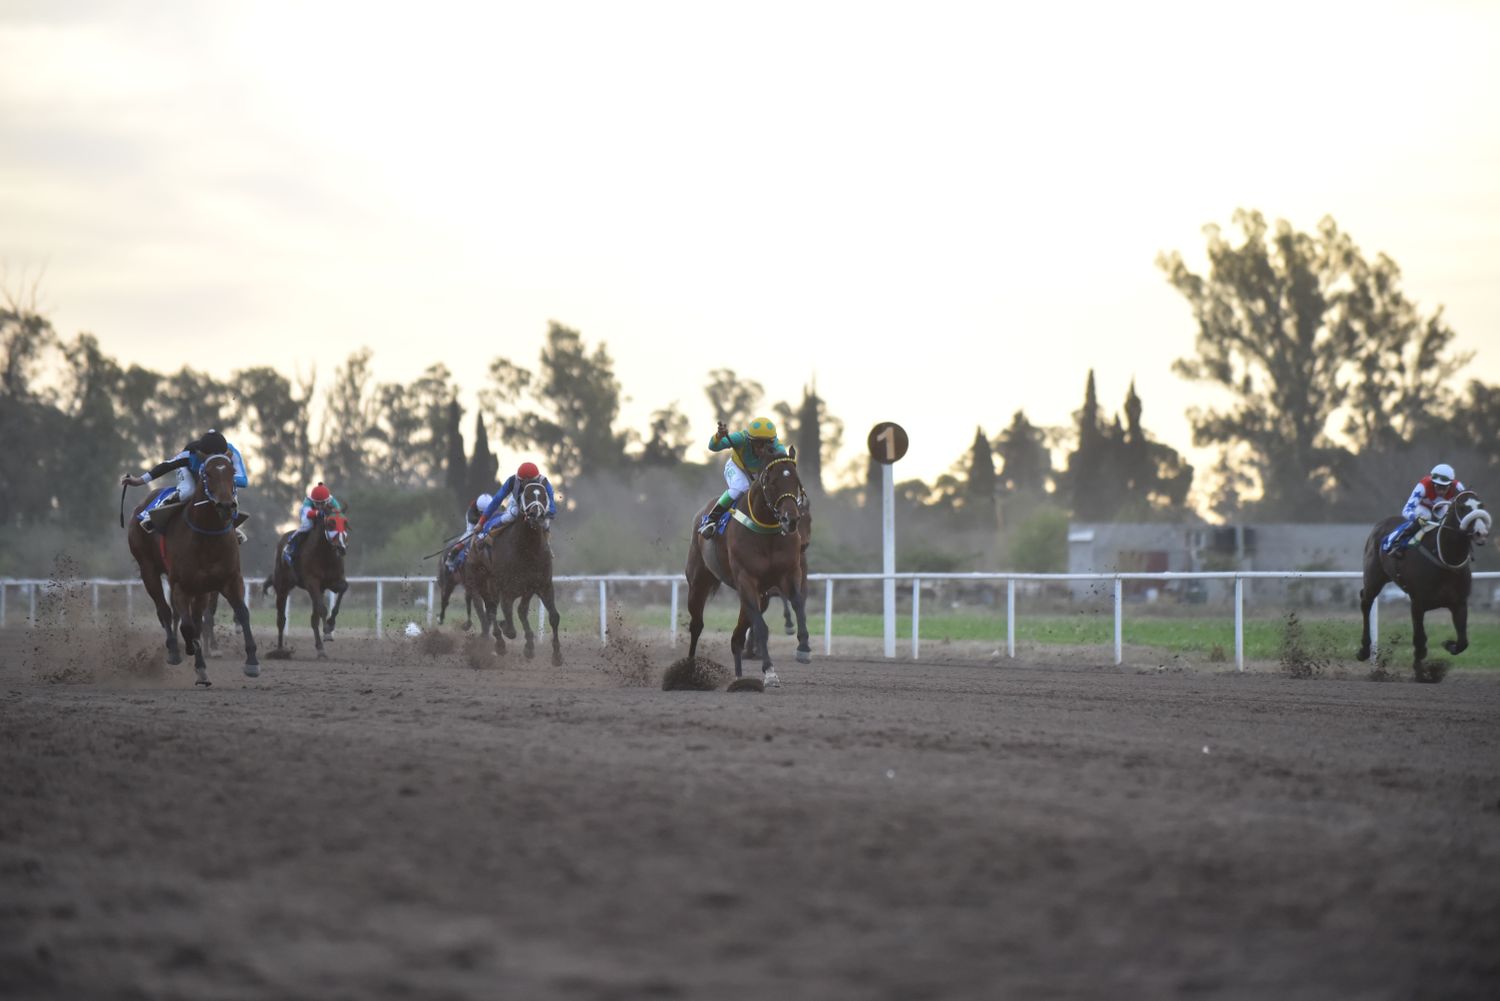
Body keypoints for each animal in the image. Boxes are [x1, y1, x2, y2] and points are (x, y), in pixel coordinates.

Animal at [125, 456, 258, 684]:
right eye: (207, 474)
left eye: (232, 472)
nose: (226, 505)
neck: (207, 537)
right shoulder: (180, 584)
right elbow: (186, 625)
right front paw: (192, 653)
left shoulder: (229, 580)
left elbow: (242, 613)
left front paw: (251, 662)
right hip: (148, 569)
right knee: (165, 610)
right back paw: (173, 650)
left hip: (200, 588)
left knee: (192, 616)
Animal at [262, 510, 349, 657]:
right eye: (331, 523)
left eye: (345, 523)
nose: (341, 548)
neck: (325, 555)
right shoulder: (312, 582)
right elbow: (322, 609)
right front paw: (327, 631)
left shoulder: (332, 582)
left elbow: (343, 589)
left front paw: (331, 623)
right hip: (283, 587)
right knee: (281, 620)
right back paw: (280, 650)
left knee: (313, 619)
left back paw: (320, 649)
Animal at [687, 453, 816, 681]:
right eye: (772, 482)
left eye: (796, 481)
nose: (790, 520)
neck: (767, 533)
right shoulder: (747, 579)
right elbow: (761, 627)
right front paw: (770, 670)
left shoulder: (790, 574)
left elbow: (798, 604)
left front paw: (803, 648)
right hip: (698, 582)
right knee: (697, 625)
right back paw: (690, 668)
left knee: (736, 637)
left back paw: (739, 676)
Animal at [1362, 486, 1488, 681]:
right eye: (1463, 508)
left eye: (1480, 506)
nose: (1480, 533)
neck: (1443, 557)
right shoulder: (1417, 603)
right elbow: (1420, 639)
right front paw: (1422, 673)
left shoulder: (1459, 603)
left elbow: (1463, 642)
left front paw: (1448, 645)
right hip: (1374, 577)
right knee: (1366, 601)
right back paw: (1363, 650)